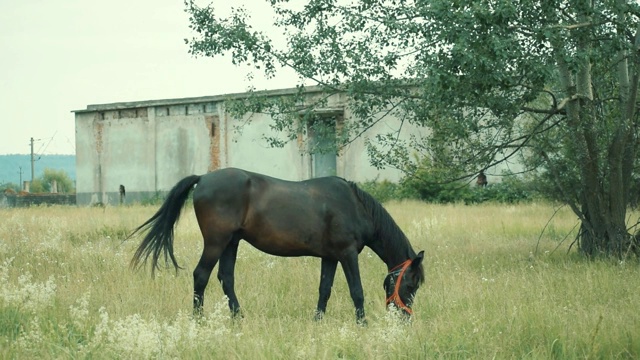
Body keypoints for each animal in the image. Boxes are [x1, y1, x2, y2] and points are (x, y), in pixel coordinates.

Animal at [129, 168, 424, 324]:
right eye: (411, 284)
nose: (405, 318)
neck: (353, 205)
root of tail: (202, 178)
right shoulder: (347, 254)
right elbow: (357, 291)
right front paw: (362, 324)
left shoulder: (330, 257)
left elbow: (324, 290)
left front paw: (317, 321)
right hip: (216, 242)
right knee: (201, 276)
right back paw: (199, 320)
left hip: (231, 244)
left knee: (226, 279)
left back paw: (239, 318)